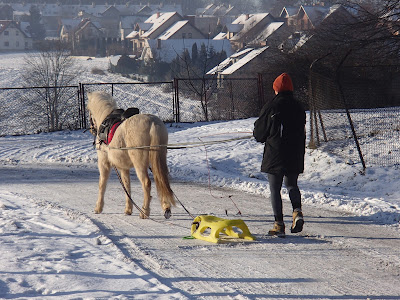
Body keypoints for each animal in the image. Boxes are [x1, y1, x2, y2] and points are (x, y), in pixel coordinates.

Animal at [87, 90, 175, 219]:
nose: (91, 129)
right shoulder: (124, 167)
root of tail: (152, 123)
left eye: (89, 112)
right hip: (158, 158)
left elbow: (102, 184)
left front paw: (98, 207)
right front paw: (128, 209)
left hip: (140, 163)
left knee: (147, 183)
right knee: (161, 179)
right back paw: (166, 208)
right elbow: (127, 186)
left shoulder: (104, 163)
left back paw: (144, 211)